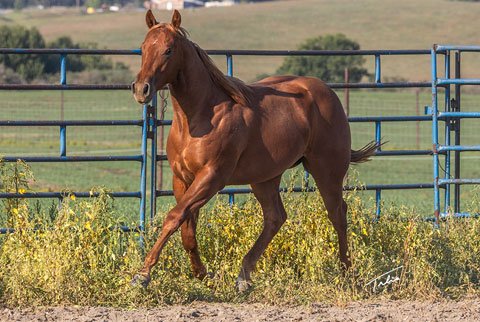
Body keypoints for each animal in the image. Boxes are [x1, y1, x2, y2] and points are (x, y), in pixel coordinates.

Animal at [132, 9, 378, 292]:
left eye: (168, 50)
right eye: (142, 48)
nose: (141, 89)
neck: (201, 116)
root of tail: (329, 93)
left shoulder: (212, 178)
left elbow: (174, 218)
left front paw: (143, 274)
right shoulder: (182, 179)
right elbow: (187, 230)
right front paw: (203, 274)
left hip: (326, 171)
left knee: (337, 214)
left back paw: (347, 273)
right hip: (265, 178)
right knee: (275, 217)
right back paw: (244, 276)